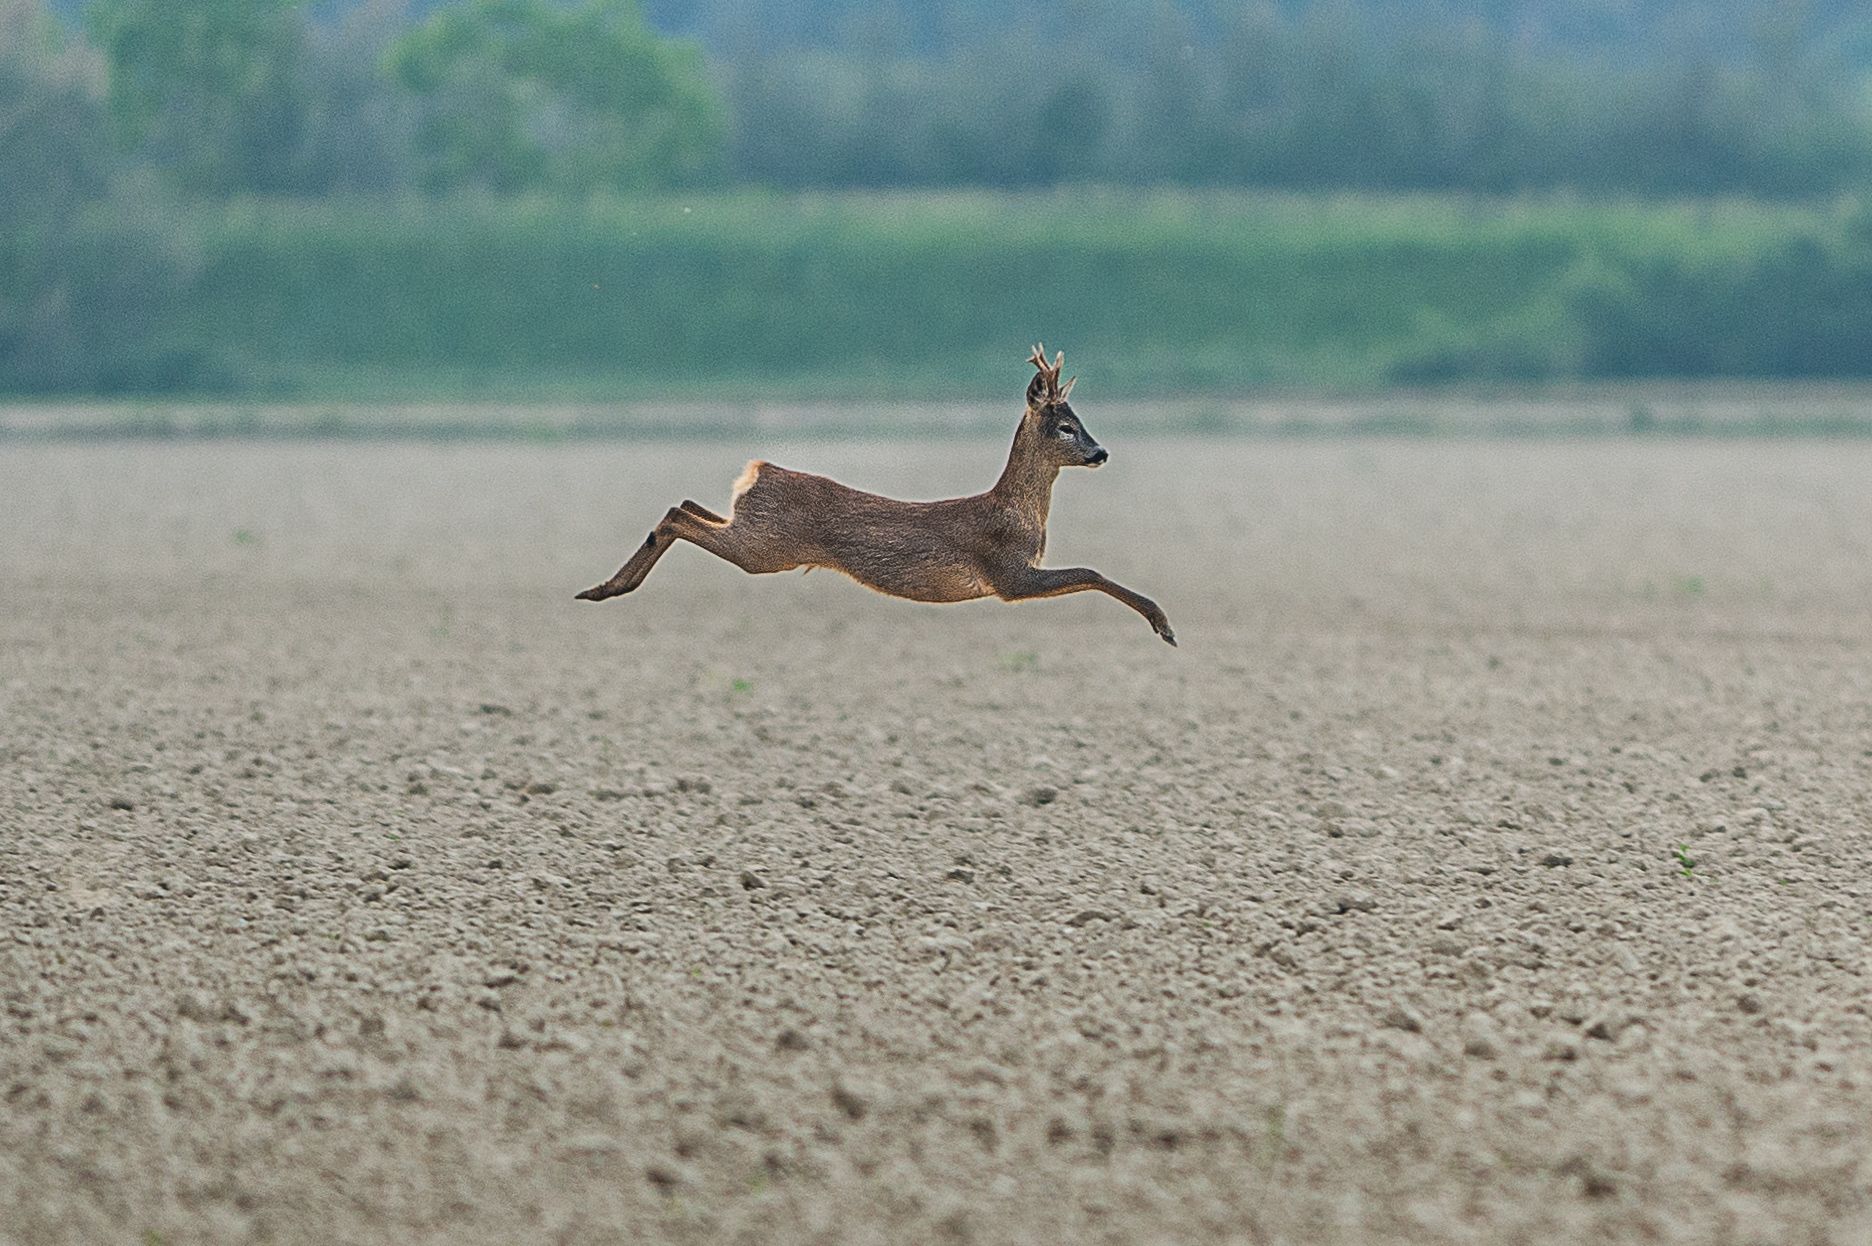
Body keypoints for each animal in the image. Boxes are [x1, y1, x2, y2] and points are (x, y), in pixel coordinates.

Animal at [574, 345, 1176, 645]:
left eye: (1081, 420)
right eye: (1066, 427)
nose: (1101, 453)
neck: (1017, 514)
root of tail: (758, 472)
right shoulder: (1006, 574)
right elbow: (1091, 572)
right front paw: (1163, 625)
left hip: (756, 534)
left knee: (686, 505)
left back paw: (603, 588)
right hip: (766, 548)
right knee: (678, 516)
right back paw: (607, 589)